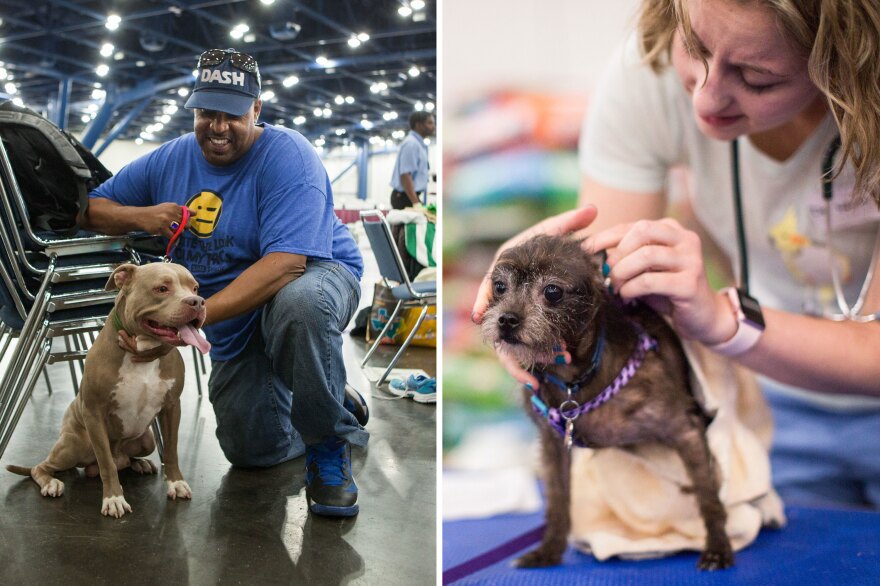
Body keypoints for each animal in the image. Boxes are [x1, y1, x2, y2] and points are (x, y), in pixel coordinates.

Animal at [6, 264, 211, 516]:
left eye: (195, 288)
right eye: (162, 288)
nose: (198, 302)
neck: (143, 352)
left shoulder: (172, 407)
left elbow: (171, 451)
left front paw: (176, 483)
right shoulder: (94, 412)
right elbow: (106, 463)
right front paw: (113, 498)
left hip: (147, 440)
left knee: (125, 459)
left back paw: (139, 463)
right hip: (75, 444)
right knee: (42, 467)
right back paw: (51, 482)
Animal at [484, 234, 732, 572]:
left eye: (552, 291)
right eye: (499, 286)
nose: (507, 319)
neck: (573, 378)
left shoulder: (687, 431)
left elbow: (708, 496)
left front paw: (718, 547)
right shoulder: (552, 445)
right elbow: (558, 501)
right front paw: (548, 551)